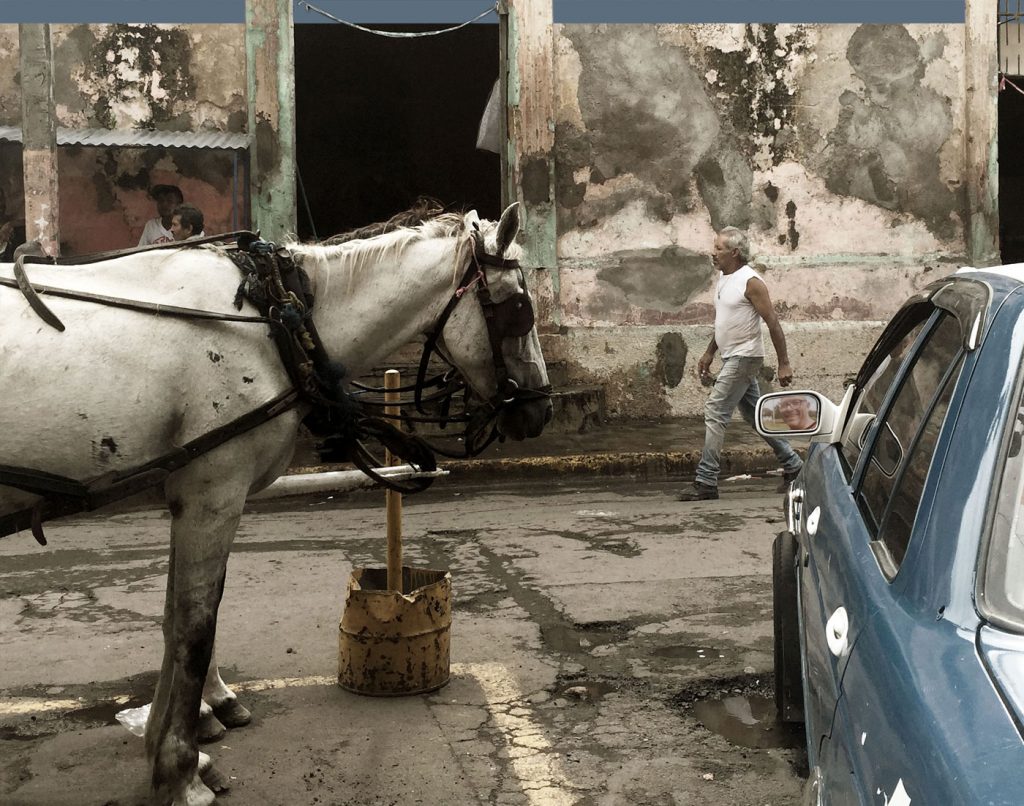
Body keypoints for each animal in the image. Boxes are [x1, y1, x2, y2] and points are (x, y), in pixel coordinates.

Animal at [0, 203, 552, 806]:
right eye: (519, 309)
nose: (541, 410)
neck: (275, 320)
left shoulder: (185, 493)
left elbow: (173, 619)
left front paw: (174, 746)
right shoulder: (213, 492)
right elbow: (194, 627)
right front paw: (180, 770)